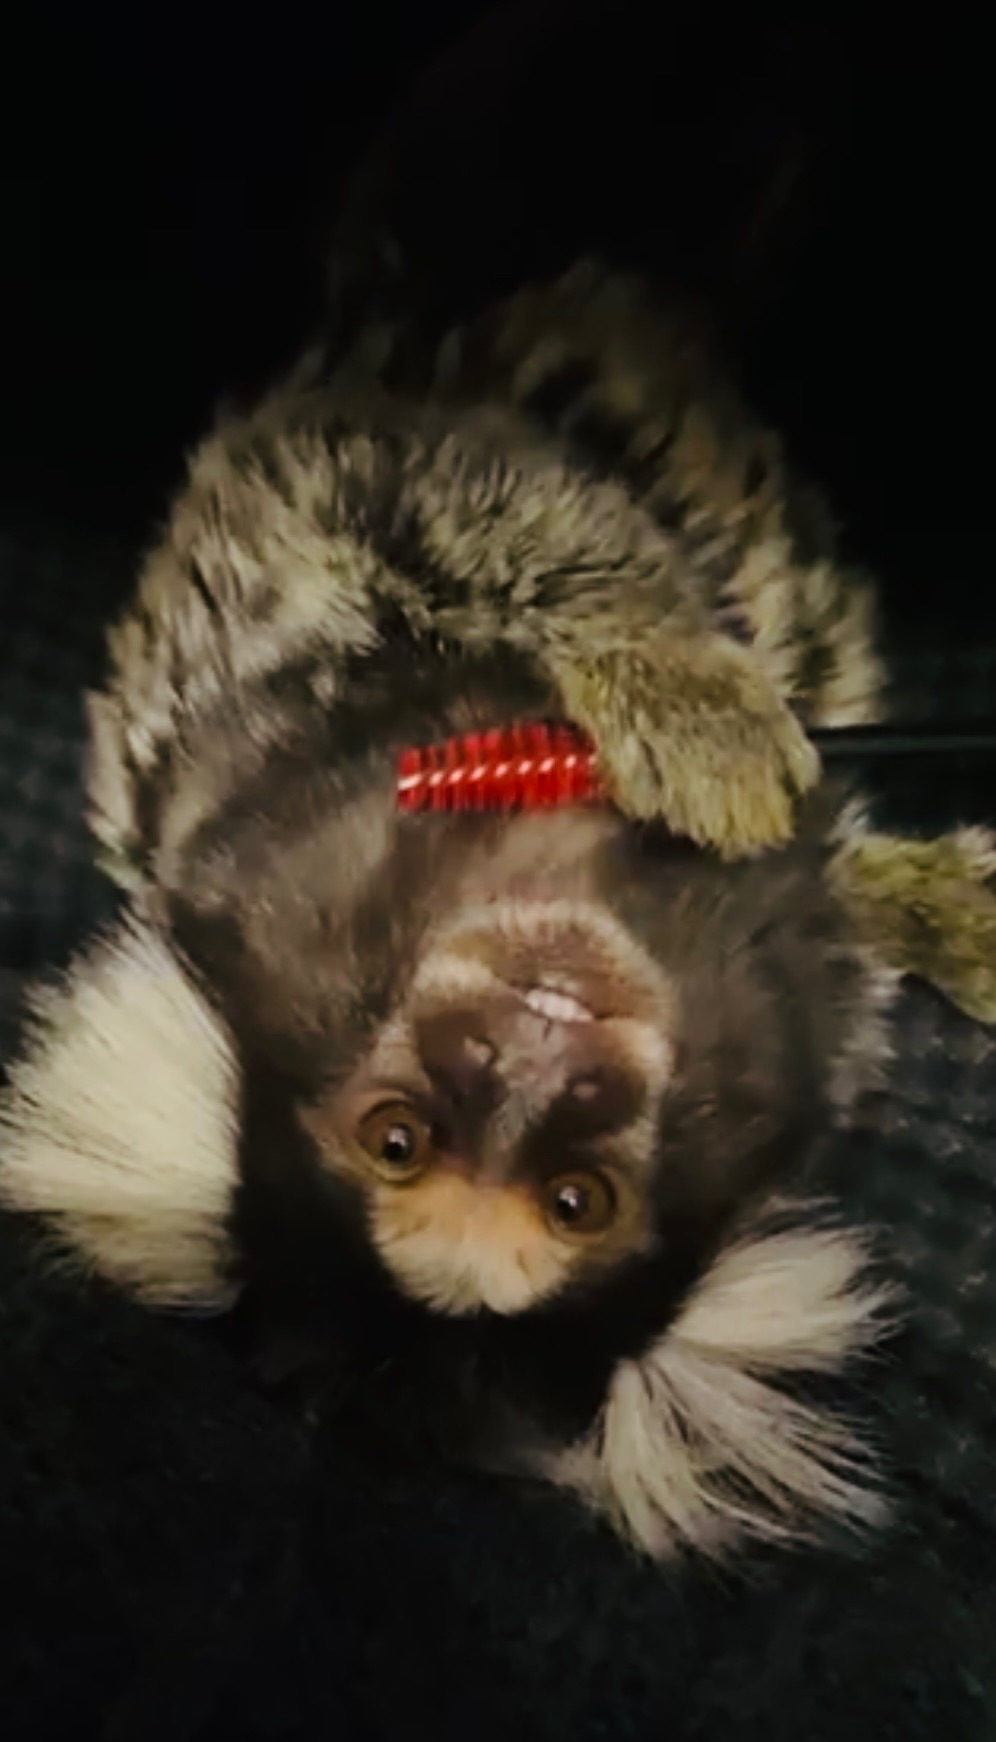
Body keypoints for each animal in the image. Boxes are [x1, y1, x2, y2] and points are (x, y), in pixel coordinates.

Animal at [0, 260, 992, 1561]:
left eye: (572, 1200)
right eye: (401, 1140)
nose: (532, 1055)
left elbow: (449, 490)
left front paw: (707, 708)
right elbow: (472, 477)